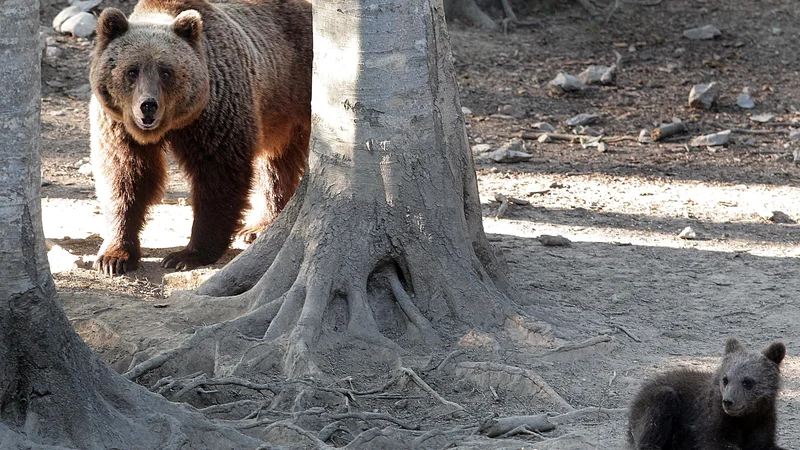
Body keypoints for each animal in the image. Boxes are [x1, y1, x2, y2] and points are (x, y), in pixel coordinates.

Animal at [89, 0, 310, 274]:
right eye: (131, 71)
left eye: (166, 72)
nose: (148, 105)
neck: (173, 124)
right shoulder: (118, 126)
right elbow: (125, 176)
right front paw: (114, 256)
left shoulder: (214, 115)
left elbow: (218, 176)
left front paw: (187, 254)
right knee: (277, 163)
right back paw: (259, 226)